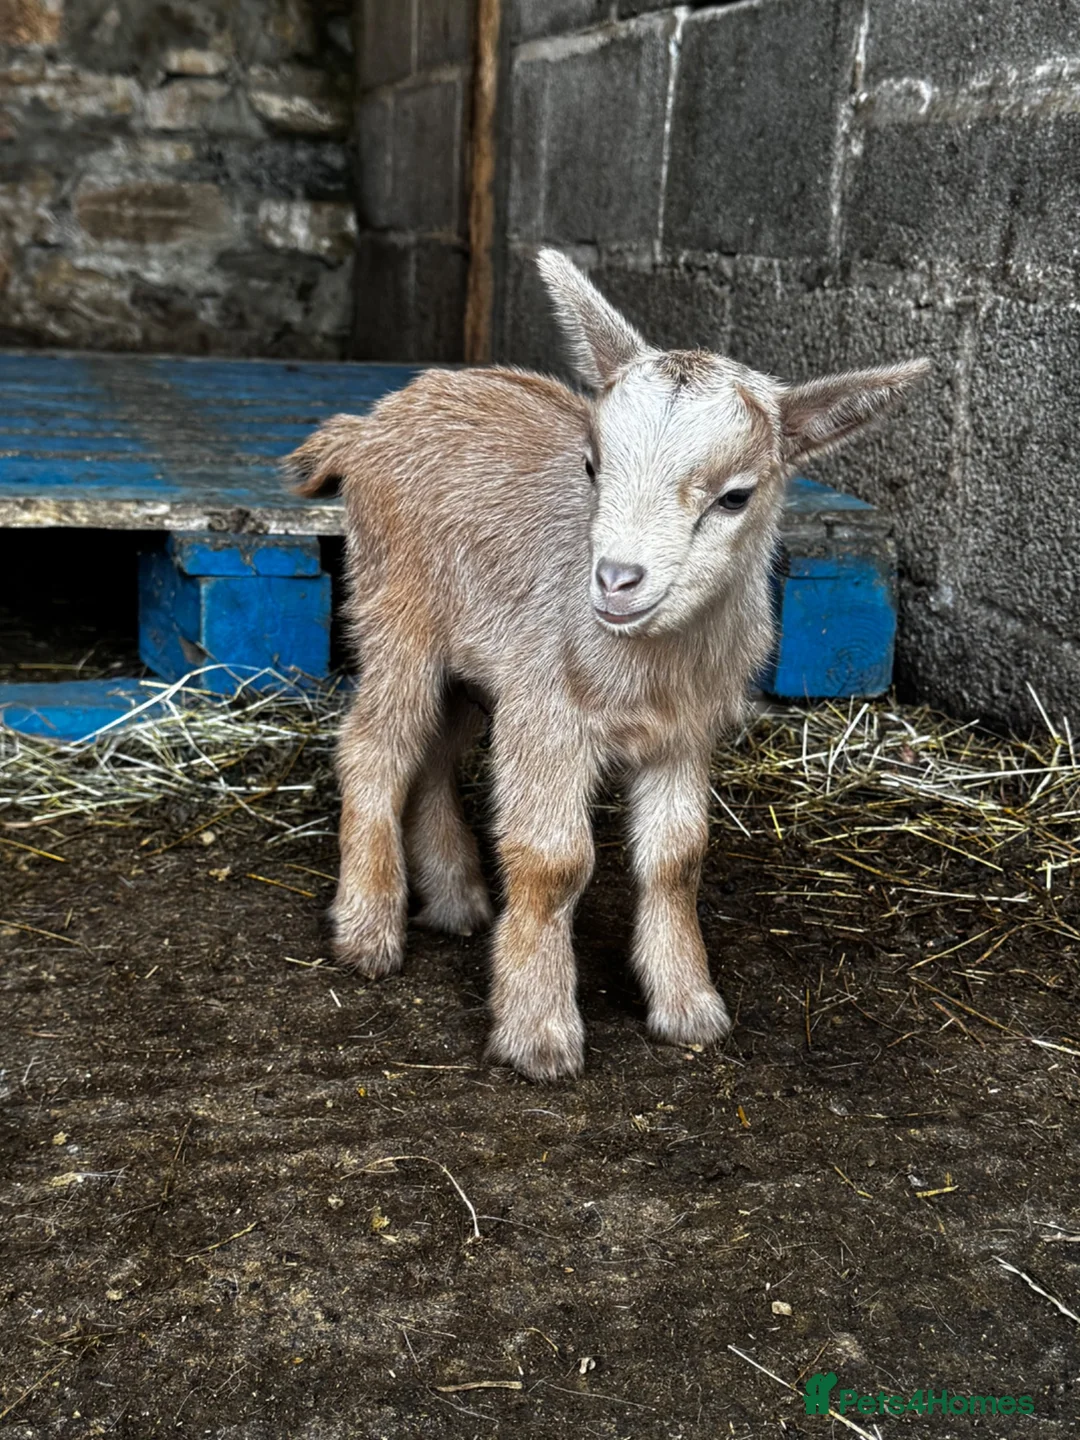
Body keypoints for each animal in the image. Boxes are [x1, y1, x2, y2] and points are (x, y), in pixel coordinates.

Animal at [287, 250, 928, 1081]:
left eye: (735, 497)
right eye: (591, 466)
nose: (617, 579)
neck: (646, 663)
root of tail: (368, 426)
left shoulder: (683, 733)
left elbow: (677, 860)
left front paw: (689, 1006)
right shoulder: (549, 716)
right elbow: (554, 862)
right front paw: (539, 1033)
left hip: (476, 661)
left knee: (434, 752)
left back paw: (457, 901)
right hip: (398, 611)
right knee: (377, 746)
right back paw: (368, 930)